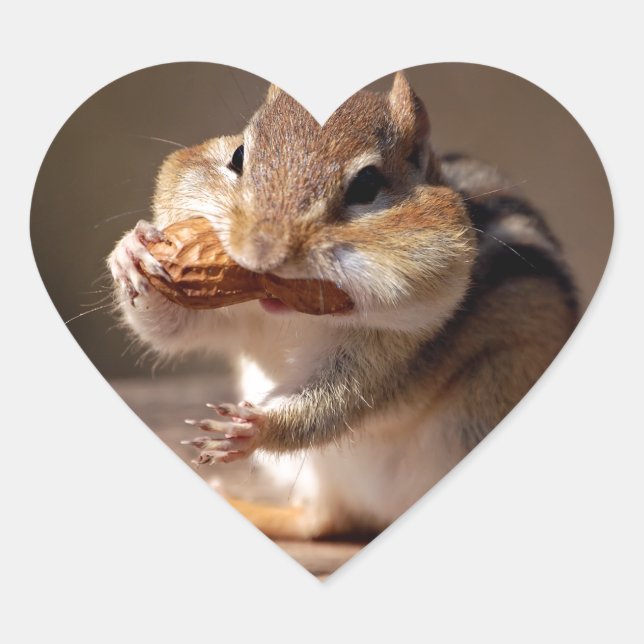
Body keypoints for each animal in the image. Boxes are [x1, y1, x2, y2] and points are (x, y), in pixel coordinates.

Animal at [108, 72, 578, 539]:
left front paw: (257, 429)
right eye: (239, 156)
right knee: (319, 520)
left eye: (367, 185)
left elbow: (340, 402)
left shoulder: (396, 343)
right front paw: (132, 251)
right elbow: (170, 329)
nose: (261, 255)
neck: (295, 318)